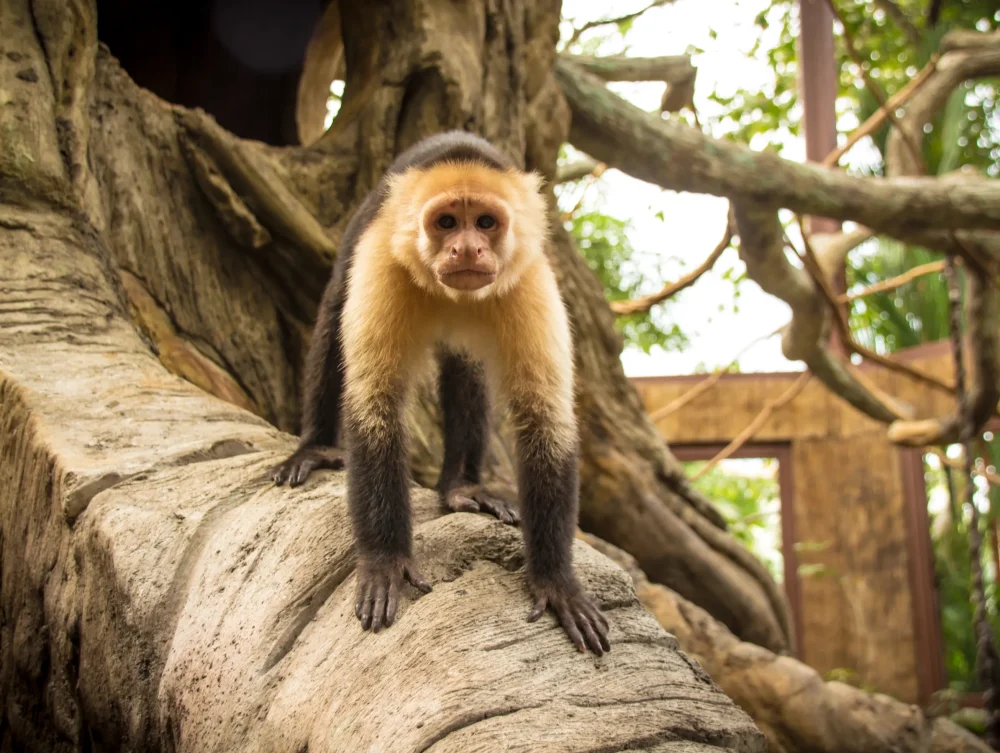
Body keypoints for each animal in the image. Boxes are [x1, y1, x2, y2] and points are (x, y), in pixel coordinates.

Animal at [271, 131, 610, 655]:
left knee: (465, 367)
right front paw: (386, 558)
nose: (467, 249)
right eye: (447, 222)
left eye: (485, 223)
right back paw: (316, 446)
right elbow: (376, 404)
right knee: (333, 315)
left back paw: (461, 488)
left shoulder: (530, 278)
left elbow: (546, 419)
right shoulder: (382, 258)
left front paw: (556, 580)